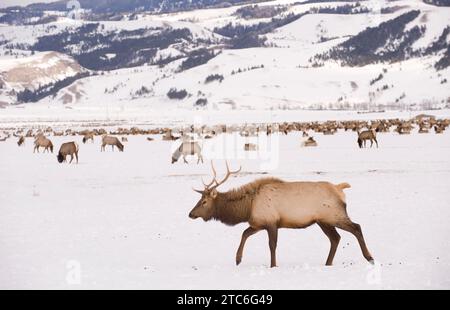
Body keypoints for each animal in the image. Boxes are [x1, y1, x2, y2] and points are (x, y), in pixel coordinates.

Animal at [188, 163, 374, 268]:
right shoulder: (259, 223)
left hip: (334, 215)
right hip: (322, 221)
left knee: (356, 228)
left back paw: (370, 257)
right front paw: (238, 259)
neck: (248, 207)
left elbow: (272, 245)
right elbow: (244, 233)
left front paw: (273, 265)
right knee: (335, 238)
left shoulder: (272, 223)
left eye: (204, 201)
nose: (190, 214)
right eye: (200, 199)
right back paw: (328, 263)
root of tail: (340, 188)